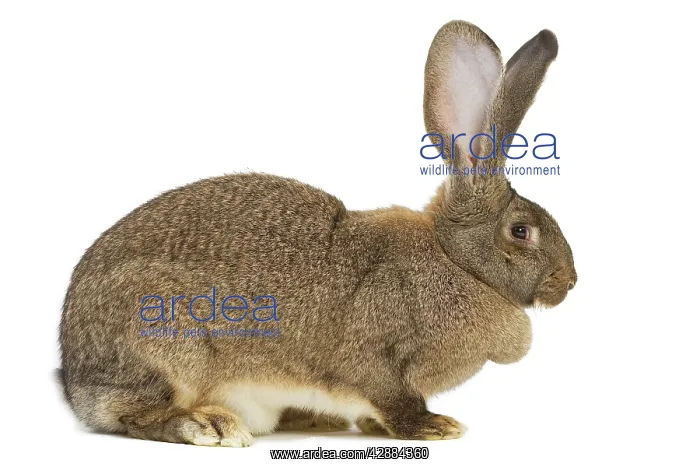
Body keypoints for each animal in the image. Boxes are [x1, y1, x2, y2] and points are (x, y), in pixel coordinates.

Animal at [59, 19, 576, 447]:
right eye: (521, 231)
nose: (570, 282)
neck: (457, 261)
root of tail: (75, 379)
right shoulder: (377, 355)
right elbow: (394, 398)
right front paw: (435, 427)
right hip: (166, 341)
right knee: (136, 416)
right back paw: (210, 425)